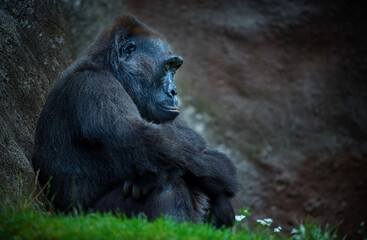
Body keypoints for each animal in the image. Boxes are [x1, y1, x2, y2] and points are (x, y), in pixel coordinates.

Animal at [32, 15, 239, 227]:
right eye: (166, 67)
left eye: (174, 70)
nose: (174, 91)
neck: (109, 68)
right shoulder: (94, 85)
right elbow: (139, 140)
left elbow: (210, 157)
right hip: (91, 217)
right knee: (168, 183)